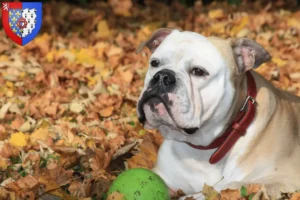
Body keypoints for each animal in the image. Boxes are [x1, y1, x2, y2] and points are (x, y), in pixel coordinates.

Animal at [137, 28, 300, 199]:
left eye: (198, 71)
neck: (202, 148)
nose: (162, 76)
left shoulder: (282, 178)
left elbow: (226, 186)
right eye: (155, 63)